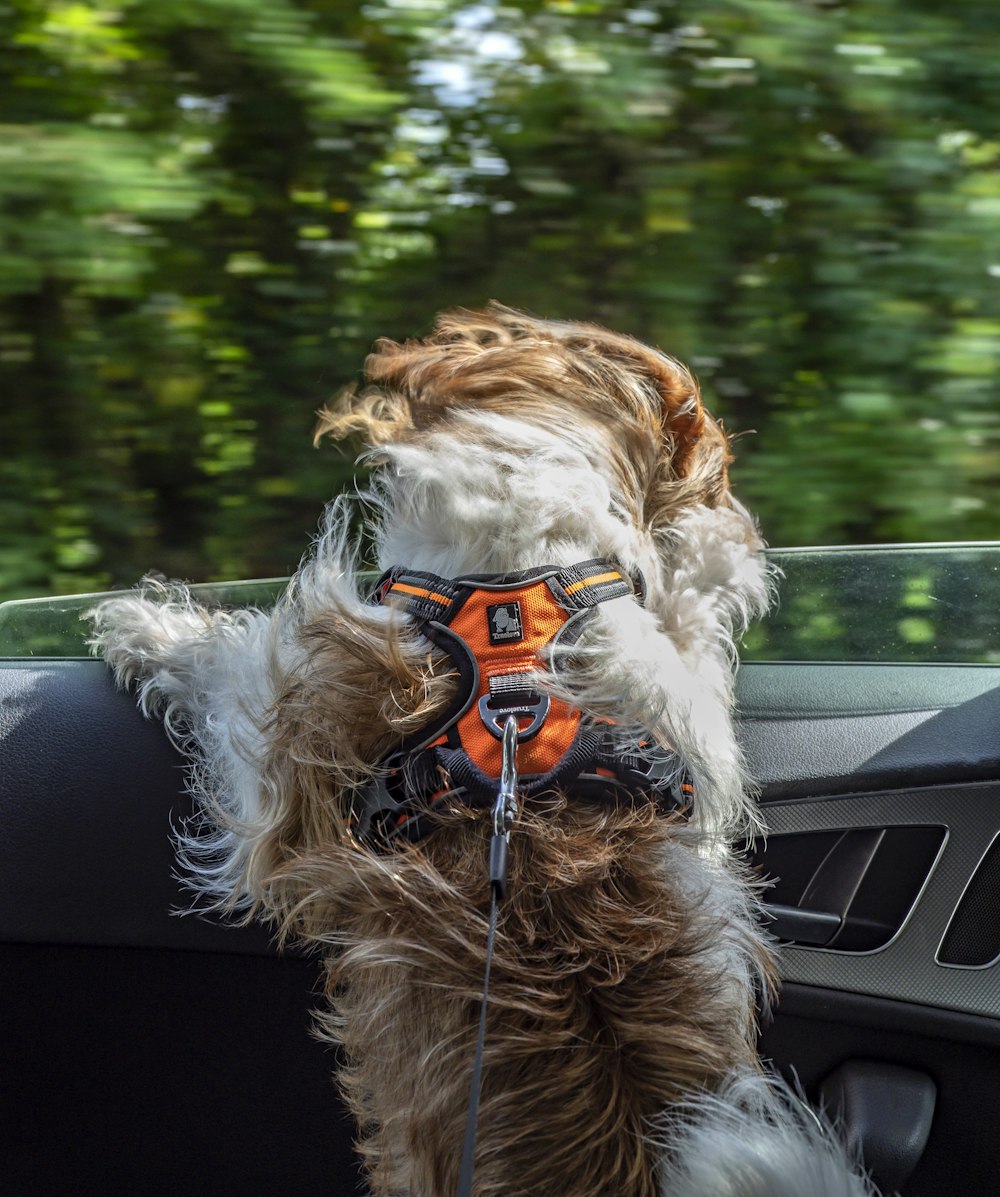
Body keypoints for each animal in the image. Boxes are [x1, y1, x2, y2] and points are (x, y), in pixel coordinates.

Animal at [95, 306, 876, 1197]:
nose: (724, 498)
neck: (519, 599)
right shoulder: (684, 721)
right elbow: (694, 633)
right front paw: (716, 548)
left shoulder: (288, 758)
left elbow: (230, 664)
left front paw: (144, 626)